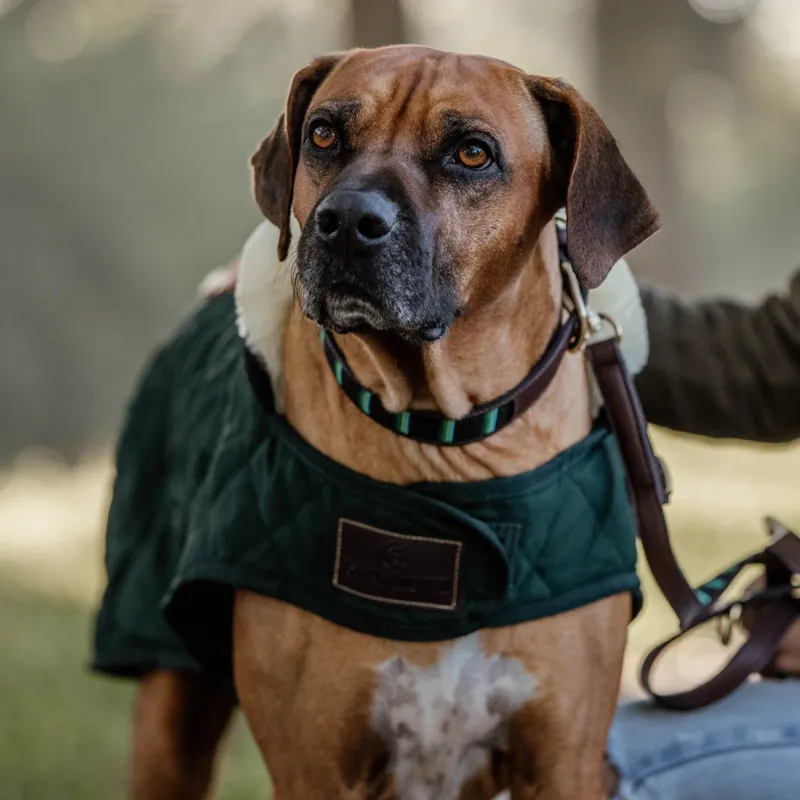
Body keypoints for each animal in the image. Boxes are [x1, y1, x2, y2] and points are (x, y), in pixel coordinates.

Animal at [94, 45, 660, 800]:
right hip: (168, 710)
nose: (346, 221)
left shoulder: (564, 763)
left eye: (472, 153)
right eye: (324, 134)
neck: (441, 441)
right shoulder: (313, 768)